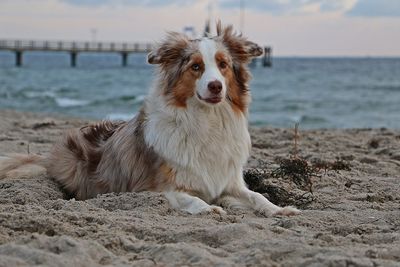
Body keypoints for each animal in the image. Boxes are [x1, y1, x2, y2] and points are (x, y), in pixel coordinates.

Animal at [0, 22, 300, 217]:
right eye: (196, 67)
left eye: (223, 64)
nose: (215, 86)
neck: (207, 121)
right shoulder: (156, 188)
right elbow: (191, 200)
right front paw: (210, 208)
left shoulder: (229, 184)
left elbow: (257, 195)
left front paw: (280, 209)